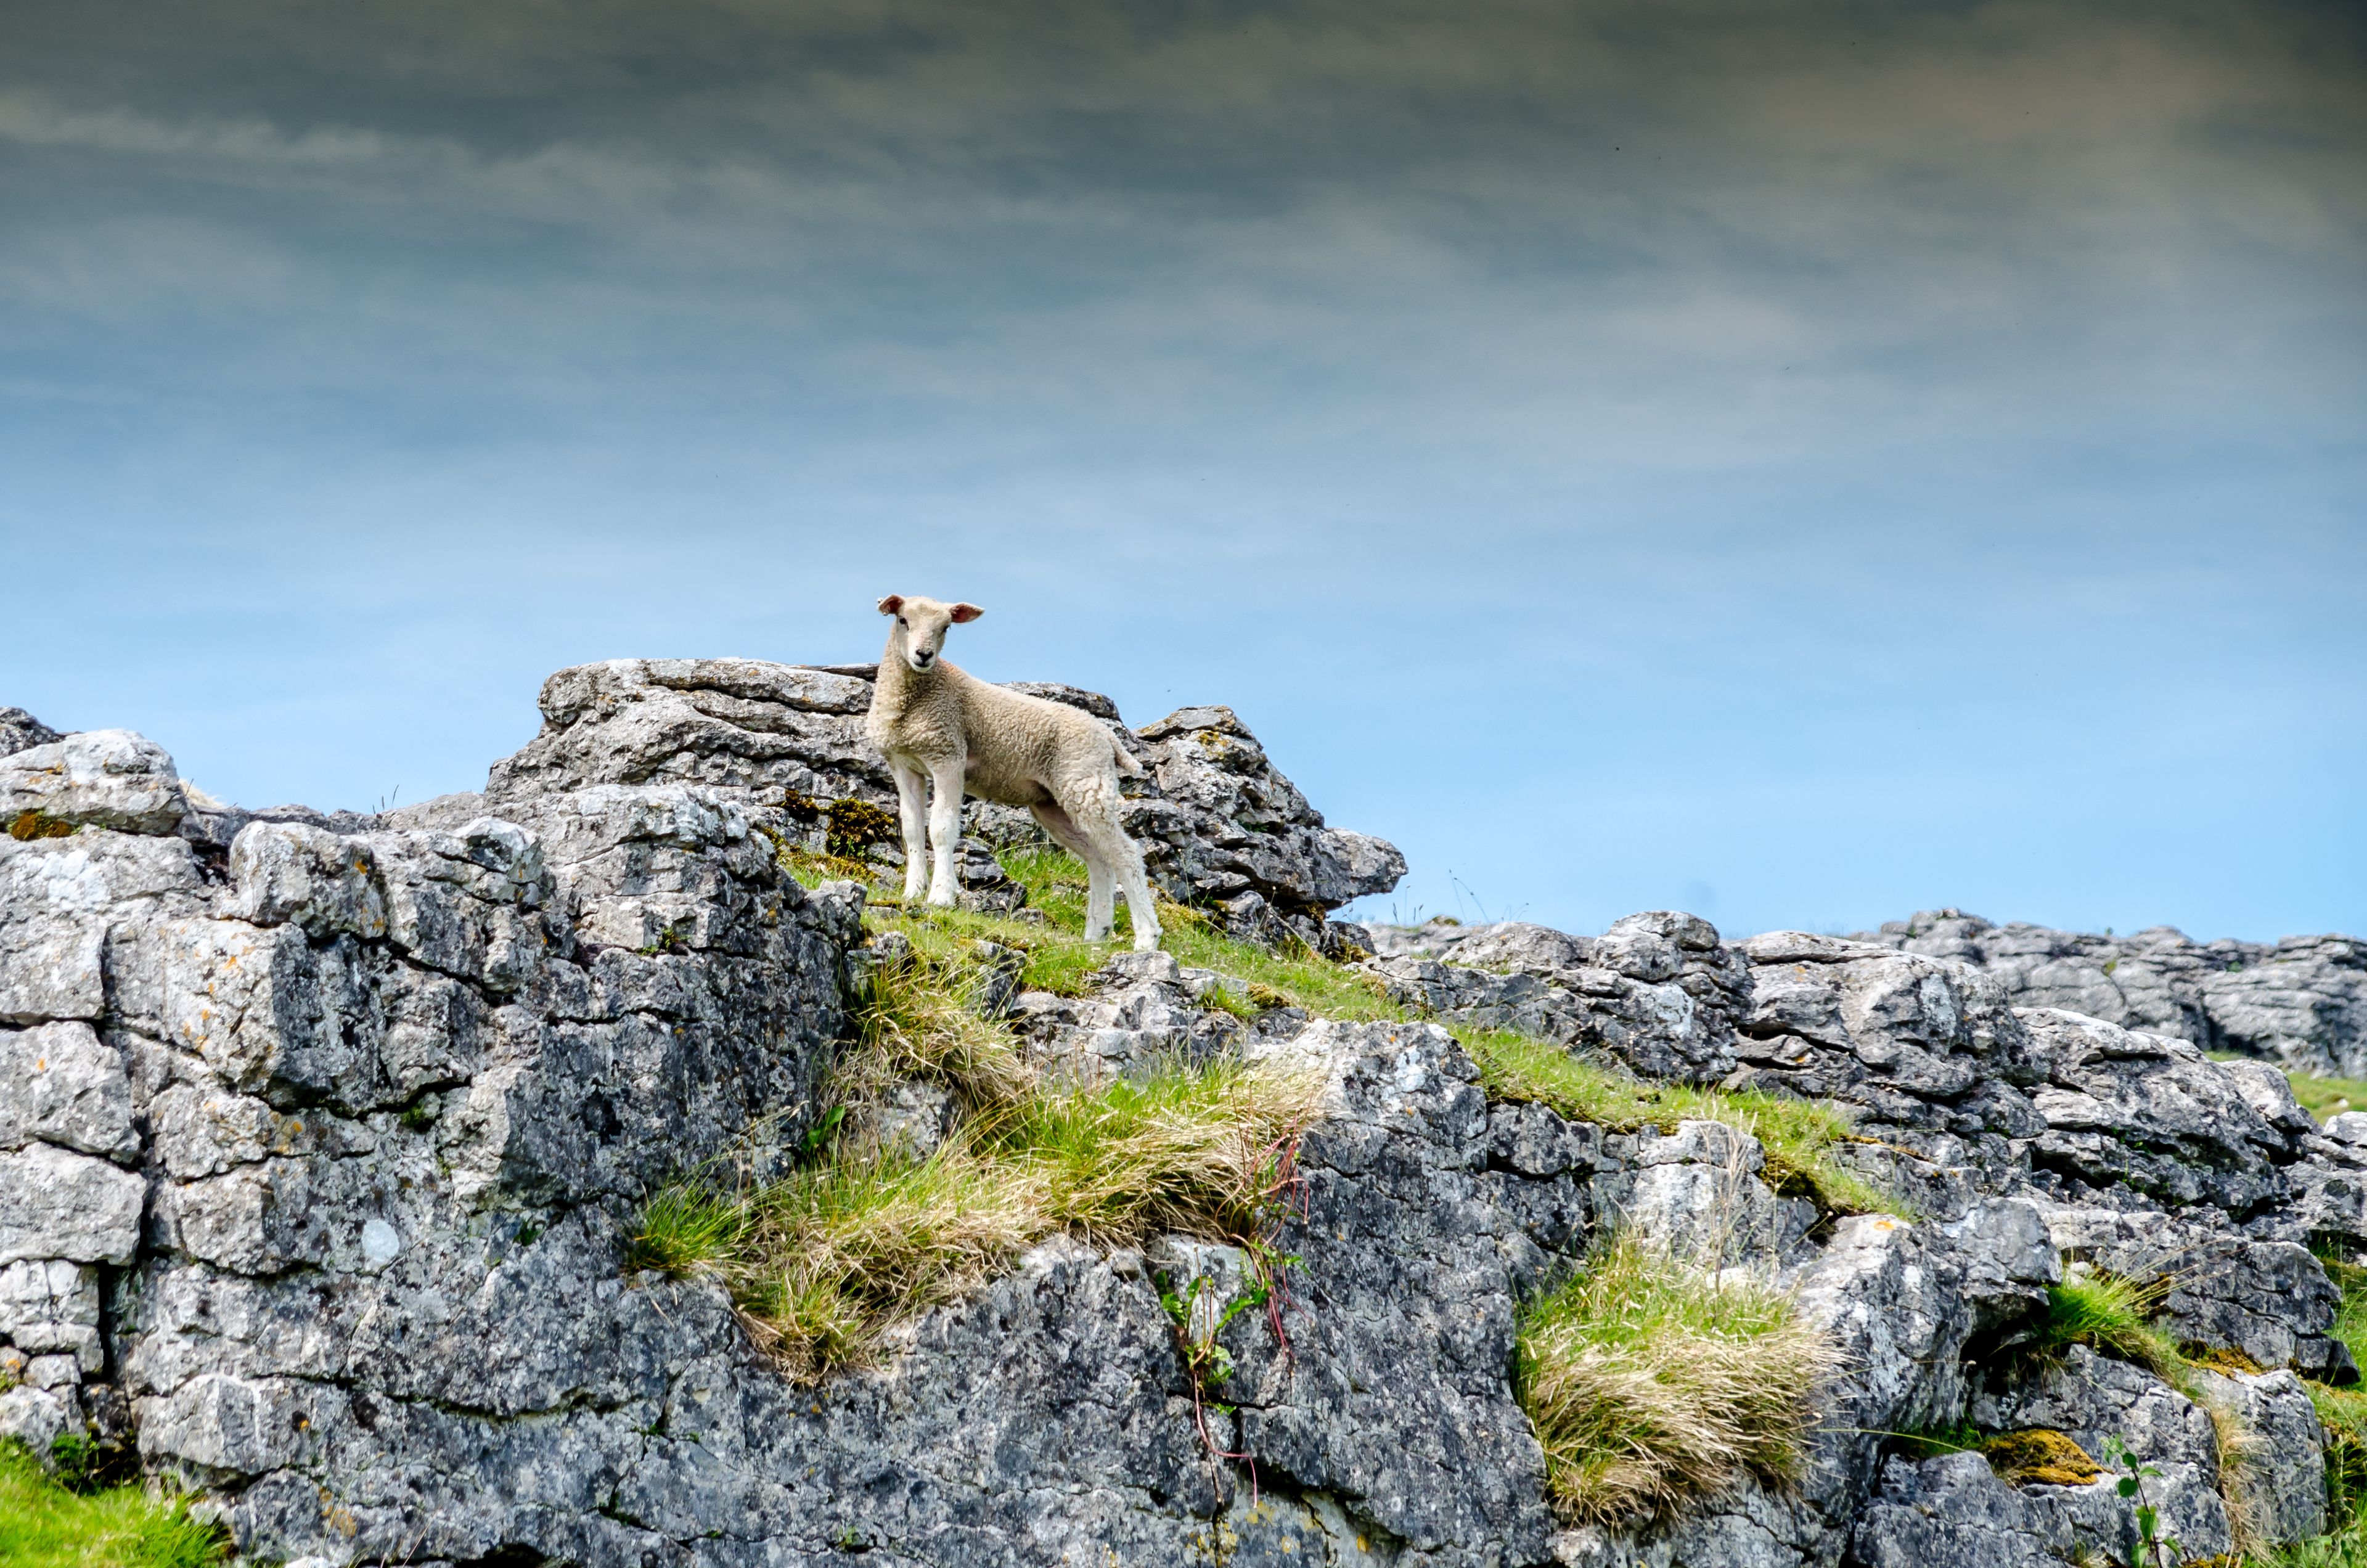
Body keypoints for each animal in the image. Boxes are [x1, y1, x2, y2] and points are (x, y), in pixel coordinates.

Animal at [871, 597, 1164, 952]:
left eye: (946, 628)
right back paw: (1097, 932)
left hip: (1087, 785)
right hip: (1054, 803)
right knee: (1099, 859)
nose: (924, 655)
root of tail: (1107, 736)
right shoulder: (905, 765)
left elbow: (941, 829)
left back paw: (1147, 936)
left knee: (1126, 855)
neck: (913, 701)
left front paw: (941, 896)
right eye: (903, 620)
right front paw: (913, 892)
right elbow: (913, 830)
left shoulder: (949, 758)